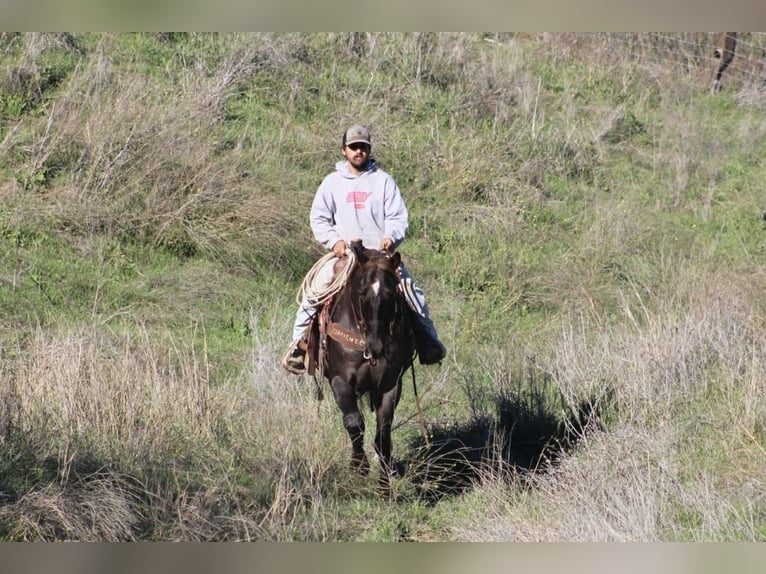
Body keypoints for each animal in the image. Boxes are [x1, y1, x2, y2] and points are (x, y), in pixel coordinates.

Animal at [316, 241, 415, 487]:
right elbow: (354, 423)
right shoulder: (340, 380)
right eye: (361, 292)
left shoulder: (390, 384)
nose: (377, 346)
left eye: (391, 293)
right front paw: (359, 467)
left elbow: (383, 433)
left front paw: (384, 481)